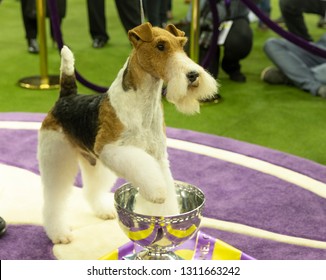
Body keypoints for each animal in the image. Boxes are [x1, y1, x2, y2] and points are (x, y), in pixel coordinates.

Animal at [37, 21, 218, 244]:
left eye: (181, 45)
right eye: (160, 46)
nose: (193, 75)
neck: (144, 105)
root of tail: (66, 96)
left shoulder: (158, 156)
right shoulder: (111, 148)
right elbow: (150, 177)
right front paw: (158, 193)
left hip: (94, 162)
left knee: (91, 190)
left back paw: (103, 211)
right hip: (57, 157)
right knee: (54, 199)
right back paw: (60, 234)